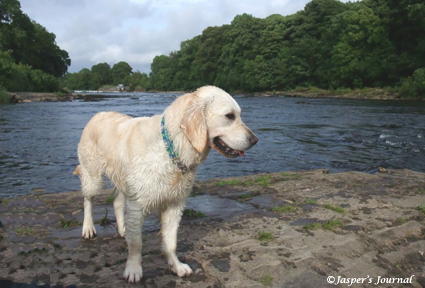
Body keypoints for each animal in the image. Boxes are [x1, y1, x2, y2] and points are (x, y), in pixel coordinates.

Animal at [75, 86, 256, 284]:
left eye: (238, 115)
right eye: (230, 116)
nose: (255, 140)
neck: (171, 149)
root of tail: (97, 114)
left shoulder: (174, 204)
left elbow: (171, 242)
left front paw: (176, 266)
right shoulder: (138, 205)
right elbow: (136, 243)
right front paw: (133, 269)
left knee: (117, 202)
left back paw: (123, 229)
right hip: (93, 175)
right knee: (88, 200)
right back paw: (88, 228)